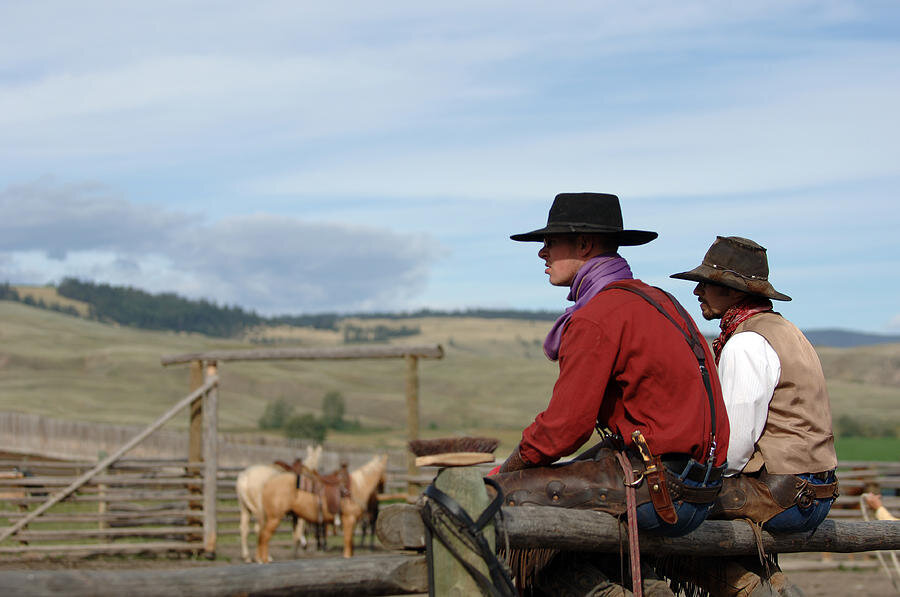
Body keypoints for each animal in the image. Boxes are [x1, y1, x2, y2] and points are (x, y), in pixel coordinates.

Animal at [256, 454, 390, 560]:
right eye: (384, 472)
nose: (382, 490)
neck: (356, 488)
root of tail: (267, 483)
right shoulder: (349, 520)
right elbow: (347, 545)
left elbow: (350, 545)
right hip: (274, 518)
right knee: (264, 537)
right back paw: (265, 561)